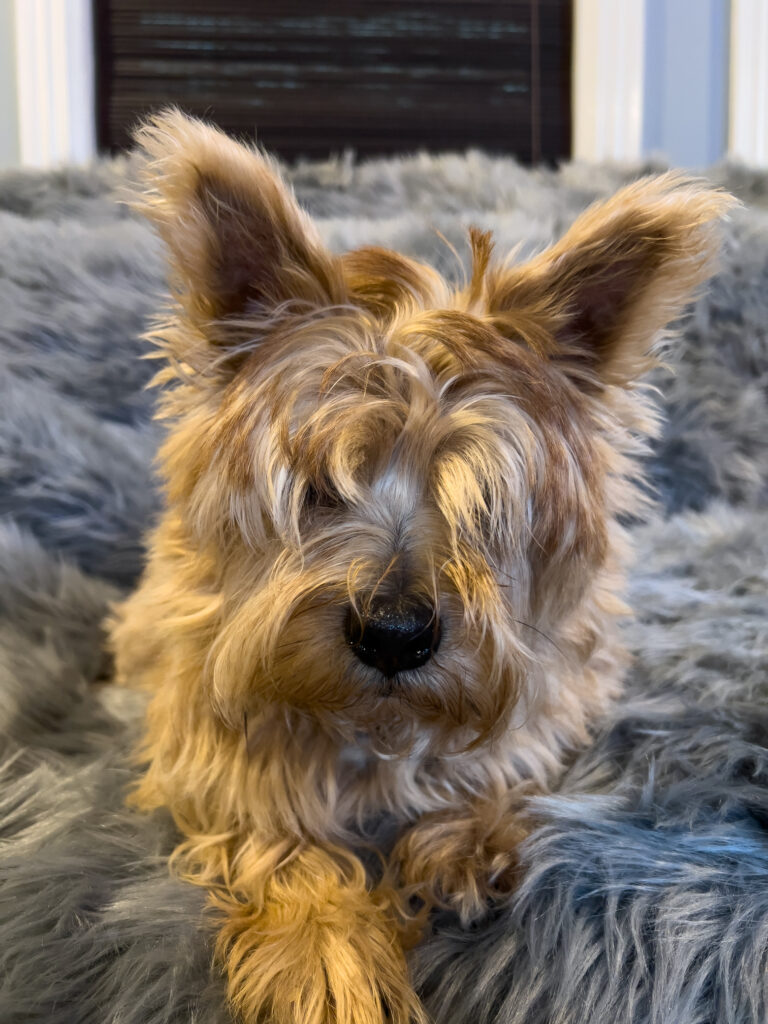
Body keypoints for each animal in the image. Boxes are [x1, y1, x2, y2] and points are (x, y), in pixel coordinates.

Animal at [111, 112, 737, 1024]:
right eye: (317, 489)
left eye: (485, 505)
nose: (395, 635)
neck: (376, 724)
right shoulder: (202, 726)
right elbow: (273, 827)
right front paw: (323, 954)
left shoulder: (555, 694)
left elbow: (503, 751)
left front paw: (460, 839)